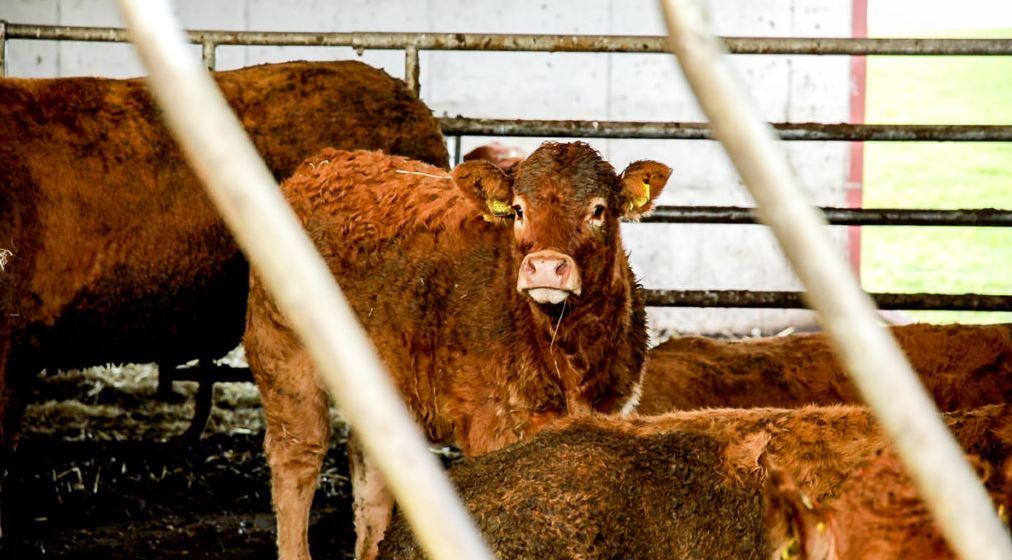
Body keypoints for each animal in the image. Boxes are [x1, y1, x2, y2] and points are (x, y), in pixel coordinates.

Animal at [243, 142, 671, 559]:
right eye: (519, 210)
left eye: (598, 210)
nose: (547, 266)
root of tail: (325, 161)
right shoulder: (493, 425)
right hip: (282, 355)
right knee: (297, 458)